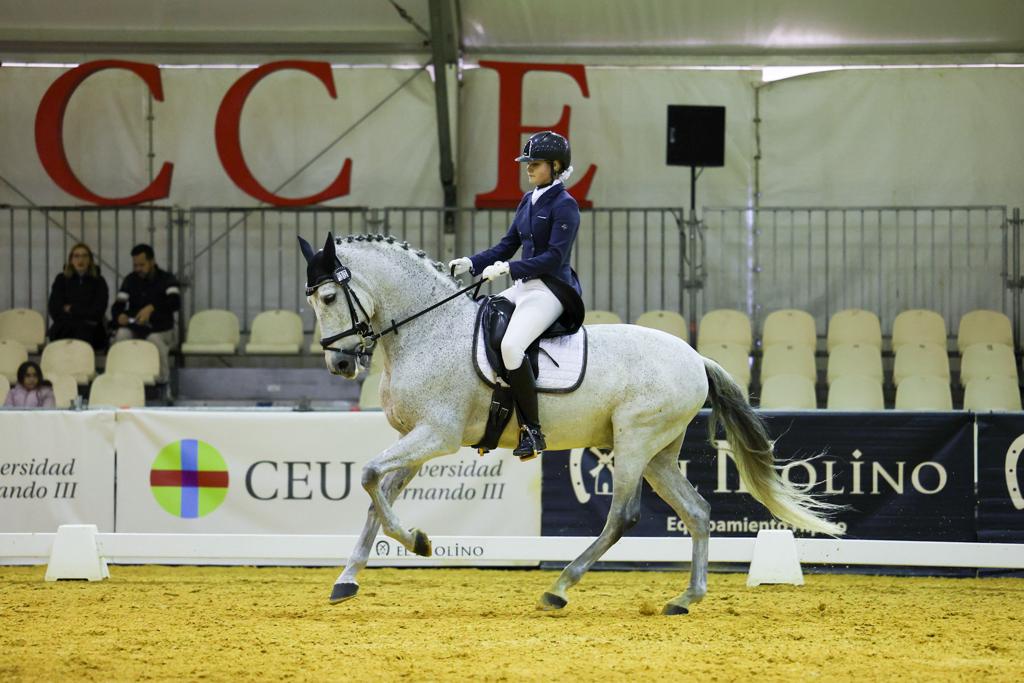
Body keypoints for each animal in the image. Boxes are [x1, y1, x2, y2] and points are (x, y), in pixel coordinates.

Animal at [299, 233, 839, 614]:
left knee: (623, 516)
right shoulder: (413, 438)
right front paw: (347, 579)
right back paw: (685, 599)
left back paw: (560, 588)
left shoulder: (437, 435)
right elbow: (378, 497)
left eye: (327, 298)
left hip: (634, 442)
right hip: (659, 454)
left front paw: (420, 542)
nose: (339, 365)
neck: (429, 330)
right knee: (698, 512)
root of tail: (694, 356)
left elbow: (370, 477)